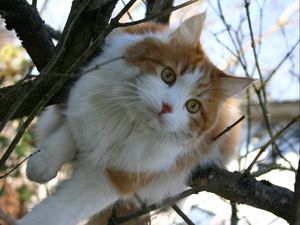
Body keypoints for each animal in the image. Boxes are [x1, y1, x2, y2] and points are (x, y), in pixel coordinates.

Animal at [17, 12, 254, 225]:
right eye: (168, 75)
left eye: (193, 106)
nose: (167, 107)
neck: (130, 122)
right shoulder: (85, 112)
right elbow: (65, 136)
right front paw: (41, 164)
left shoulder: (113, 179)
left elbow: (56, 212)